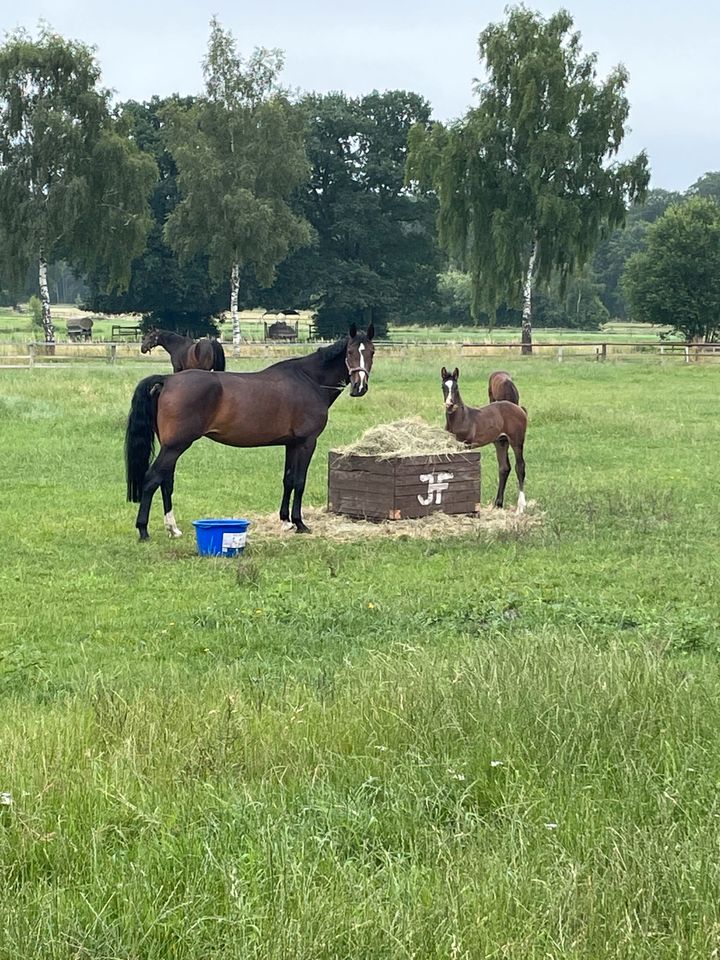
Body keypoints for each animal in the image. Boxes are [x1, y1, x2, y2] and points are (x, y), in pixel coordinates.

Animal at [126, 324, 376, 536]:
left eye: (372, 352)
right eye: (350, 352)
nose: (359, 387)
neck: (309, 379)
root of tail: (168, 380)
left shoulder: (291, 444)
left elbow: (288, 480)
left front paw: (285, 521)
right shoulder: (307, 442)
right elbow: (299, 481)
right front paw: (299, 523)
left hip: (171, 446)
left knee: (166, 481)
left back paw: (173, 528)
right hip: (175, 446)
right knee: (152, 479)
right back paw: (143, 529)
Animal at [438, 368, 528, 512]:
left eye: (456, 387)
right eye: (443, 386)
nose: (450, 404)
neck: (461, 418)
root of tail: (520, 409)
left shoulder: (467, 445)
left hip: (517, 441)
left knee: (520, 467)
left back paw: (520, 506)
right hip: (501, 442)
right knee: (504, 468)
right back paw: (498, 504)